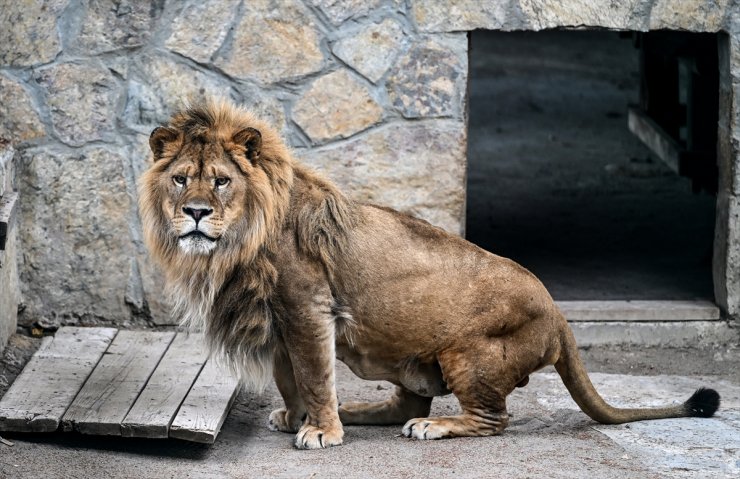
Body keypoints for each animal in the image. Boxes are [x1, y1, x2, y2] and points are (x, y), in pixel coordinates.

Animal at [137, 98, 716, 450]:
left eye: (221, 181)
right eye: (181, 179)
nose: (194, 213)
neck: (240, 242)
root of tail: (559, 314)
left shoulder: (307, 306)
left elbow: (315, 374)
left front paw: (320, 431)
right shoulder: (278, 318)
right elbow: (290, 376)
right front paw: (300, 416)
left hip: (467, 353)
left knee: (489, 420)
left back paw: (432, 425)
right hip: (404, 354)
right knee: (404, 402)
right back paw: (360, 409)